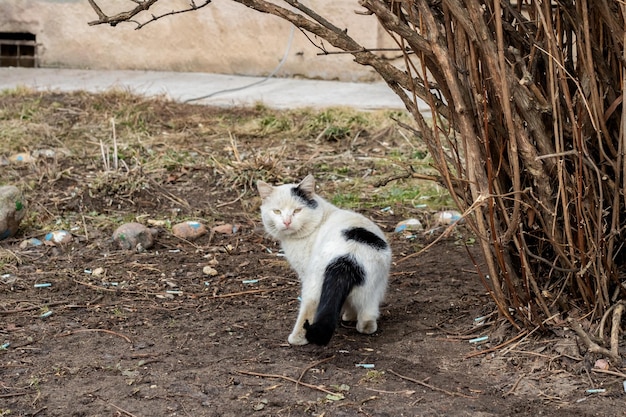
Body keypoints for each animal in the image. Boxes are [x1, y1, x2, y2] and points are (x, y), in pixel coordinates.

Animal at [256, 173, 388, 344]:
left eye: (297, 210)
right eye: (277, 212)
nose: (286, 222)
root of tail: (348, 256)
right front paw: (350, 315)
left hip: (314, 283)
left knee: (309, 309)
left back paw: (296, 339)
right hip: (373, 286)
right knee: (368, 313)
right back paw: (364, 325)